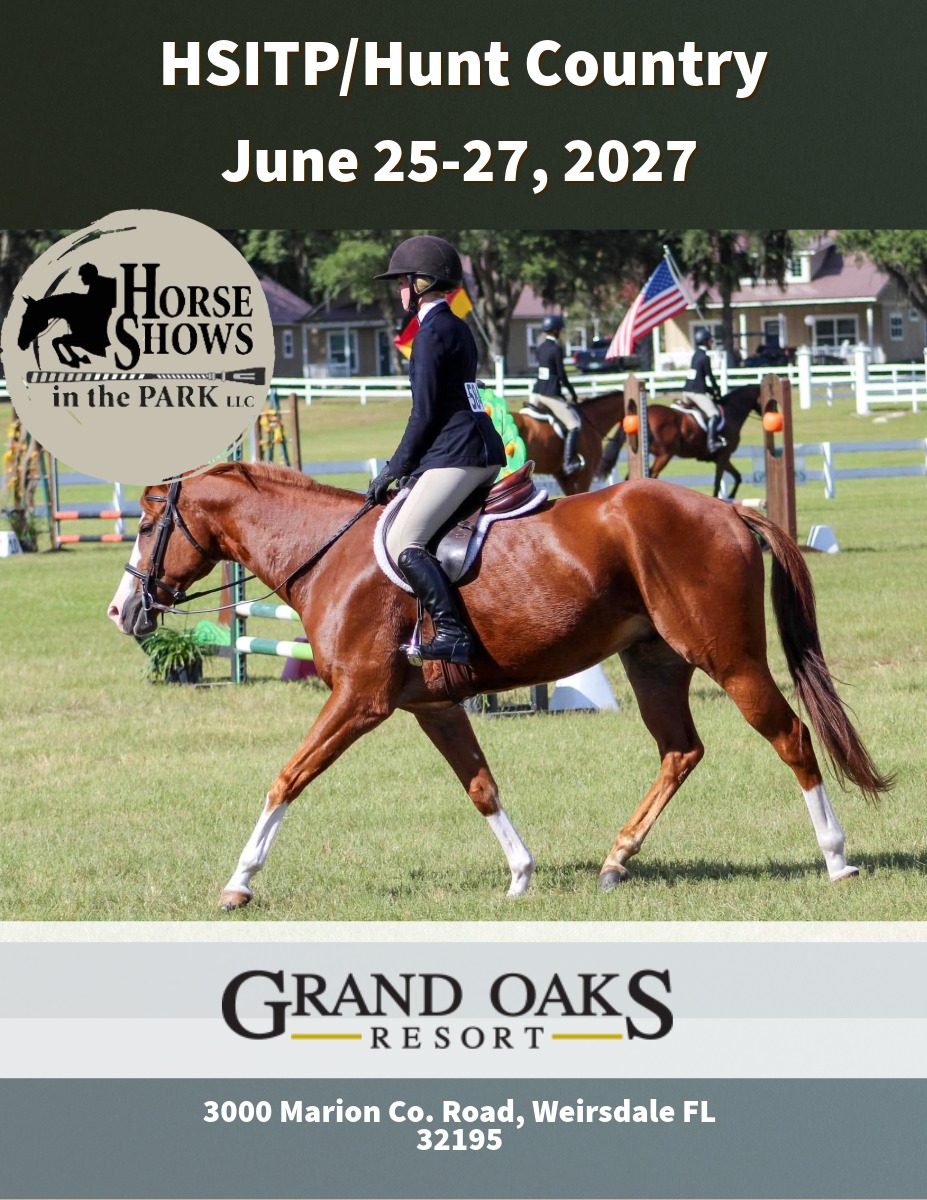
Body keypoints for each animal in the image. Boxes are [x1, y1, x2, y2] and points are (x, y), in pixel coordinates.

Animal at [107, 461, 891, 910]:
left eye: (145, 525)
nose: (123, 612)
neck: (327, 555)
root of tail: (726, 508)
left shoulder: (359, 700)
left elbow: (286, 778)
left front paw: (239, 881)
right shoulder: (432, 705)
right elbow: (480, 785)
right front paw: (519, 874)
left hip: (730, 660)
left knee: (789, 737)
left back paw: (837, 861)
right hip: (655, 662)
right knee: (680, 750)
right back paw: (616, 860)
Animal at [598, 384, 762, 498]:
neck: (732, 412)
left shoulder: (721, 458)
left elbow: (738, 477)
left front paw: (731, 496)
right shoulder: (723, 456)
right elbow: (718, 482)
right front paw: (722, 498)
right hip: (665, 455)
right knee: (653, 474)